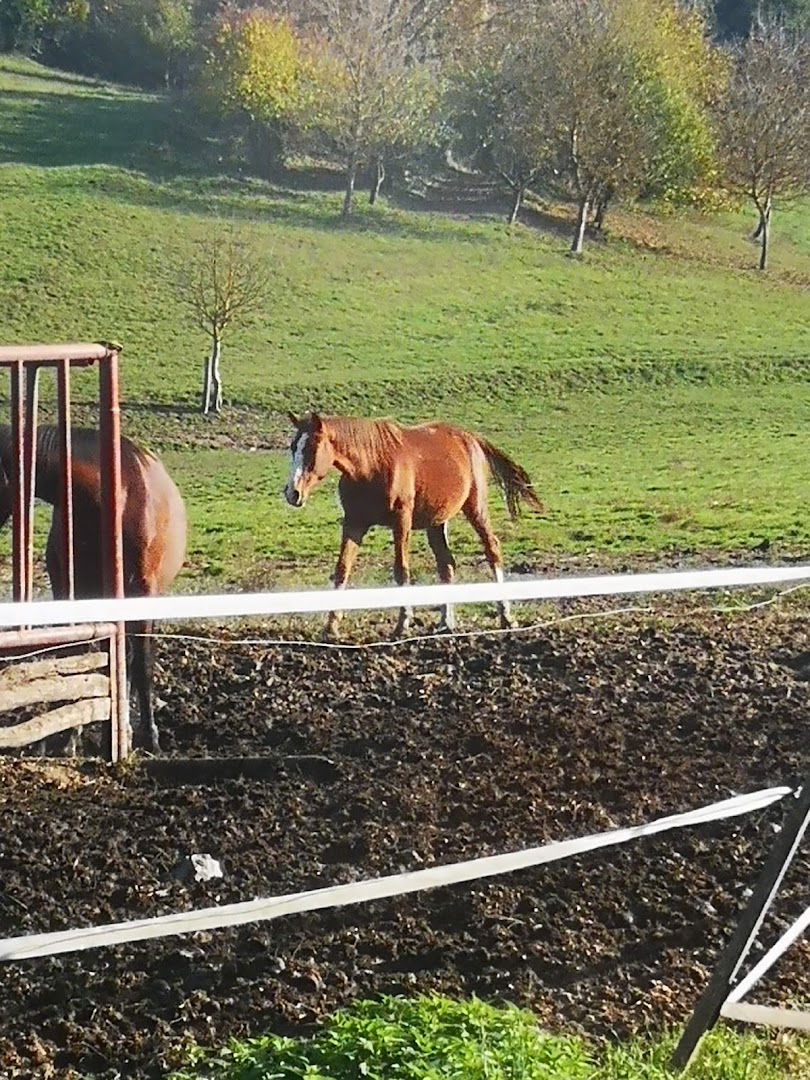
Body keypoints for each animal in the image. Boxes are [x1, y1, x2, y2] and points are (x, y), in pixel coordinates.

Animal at [0, 425, 187, 752]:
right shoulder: (73, 593)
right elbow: (80, 657)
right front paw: (69, 736)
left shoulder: (142, 593)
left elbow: (141, 663)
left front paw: (149, 735)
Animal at [284, 412, 543, 638]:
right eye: (293, 447)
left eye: (312, 448)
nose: (292, 493)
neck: (371, 465)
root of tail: (470, 438)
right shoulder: (354, 524)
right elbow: (342, 570)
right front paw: (331, 627)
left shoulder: (401, 521)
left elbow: (401, 570)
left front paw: (403, 624)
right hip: (437, 522)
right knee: (447, 565)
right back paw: (446, 623)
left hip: (476, 509)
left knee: (492, 550)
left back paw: (506, 617)